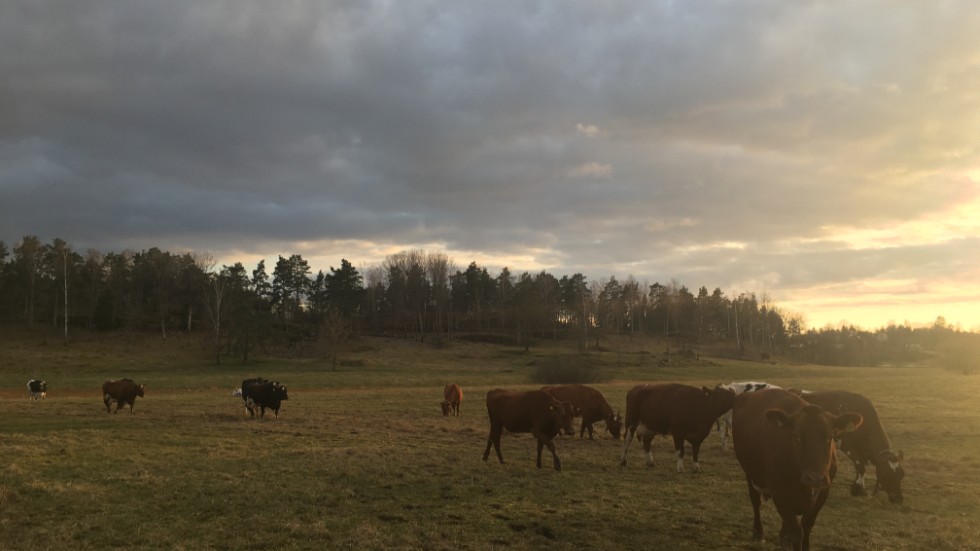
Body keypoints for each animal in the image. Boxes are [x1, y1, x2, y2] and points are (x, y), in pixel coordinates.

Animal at [732, 388, 860, 551]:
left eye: (829, 437)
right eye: (797, 436)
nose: (815, 478)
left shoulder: (824, 490)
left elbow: (807, 525)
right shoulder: (778, 490)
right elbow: (796, 531)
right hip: (750, 472)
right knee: (755, 500)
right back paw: (759, 532)